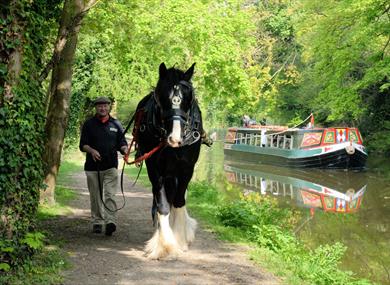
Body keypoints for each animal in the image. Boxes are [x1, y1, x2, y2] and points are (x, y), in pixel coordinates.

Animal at [133, 62, 203, 258]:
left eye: (188, 97)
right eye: (162, 96)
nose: (175, 138)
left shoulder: (187, 168)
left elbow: (179, 201)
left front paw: (180, 239)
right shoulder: (155, 169)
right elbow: (162, 205)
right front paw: (166, 245)